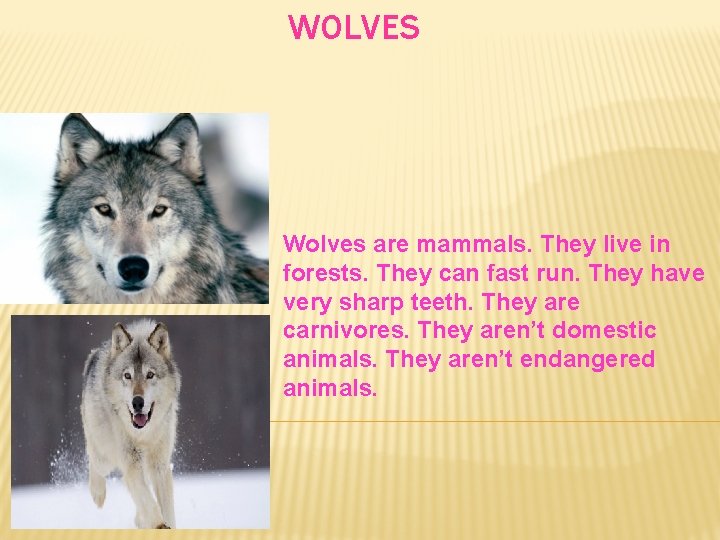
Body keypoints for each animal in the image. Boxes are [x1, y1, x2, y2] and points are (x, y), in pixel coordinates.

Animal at [81, 320, 181, 528]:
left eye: (150, 375)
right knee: (94, 460)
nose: (137, 403)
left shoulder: (159, 465)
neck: (143, 434)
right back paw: (98, 494)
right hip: (105, 456)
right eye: (127, 376)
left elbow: (165, 508)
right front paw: (158, 525)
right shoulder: (131, 463)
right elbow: (148, 502)